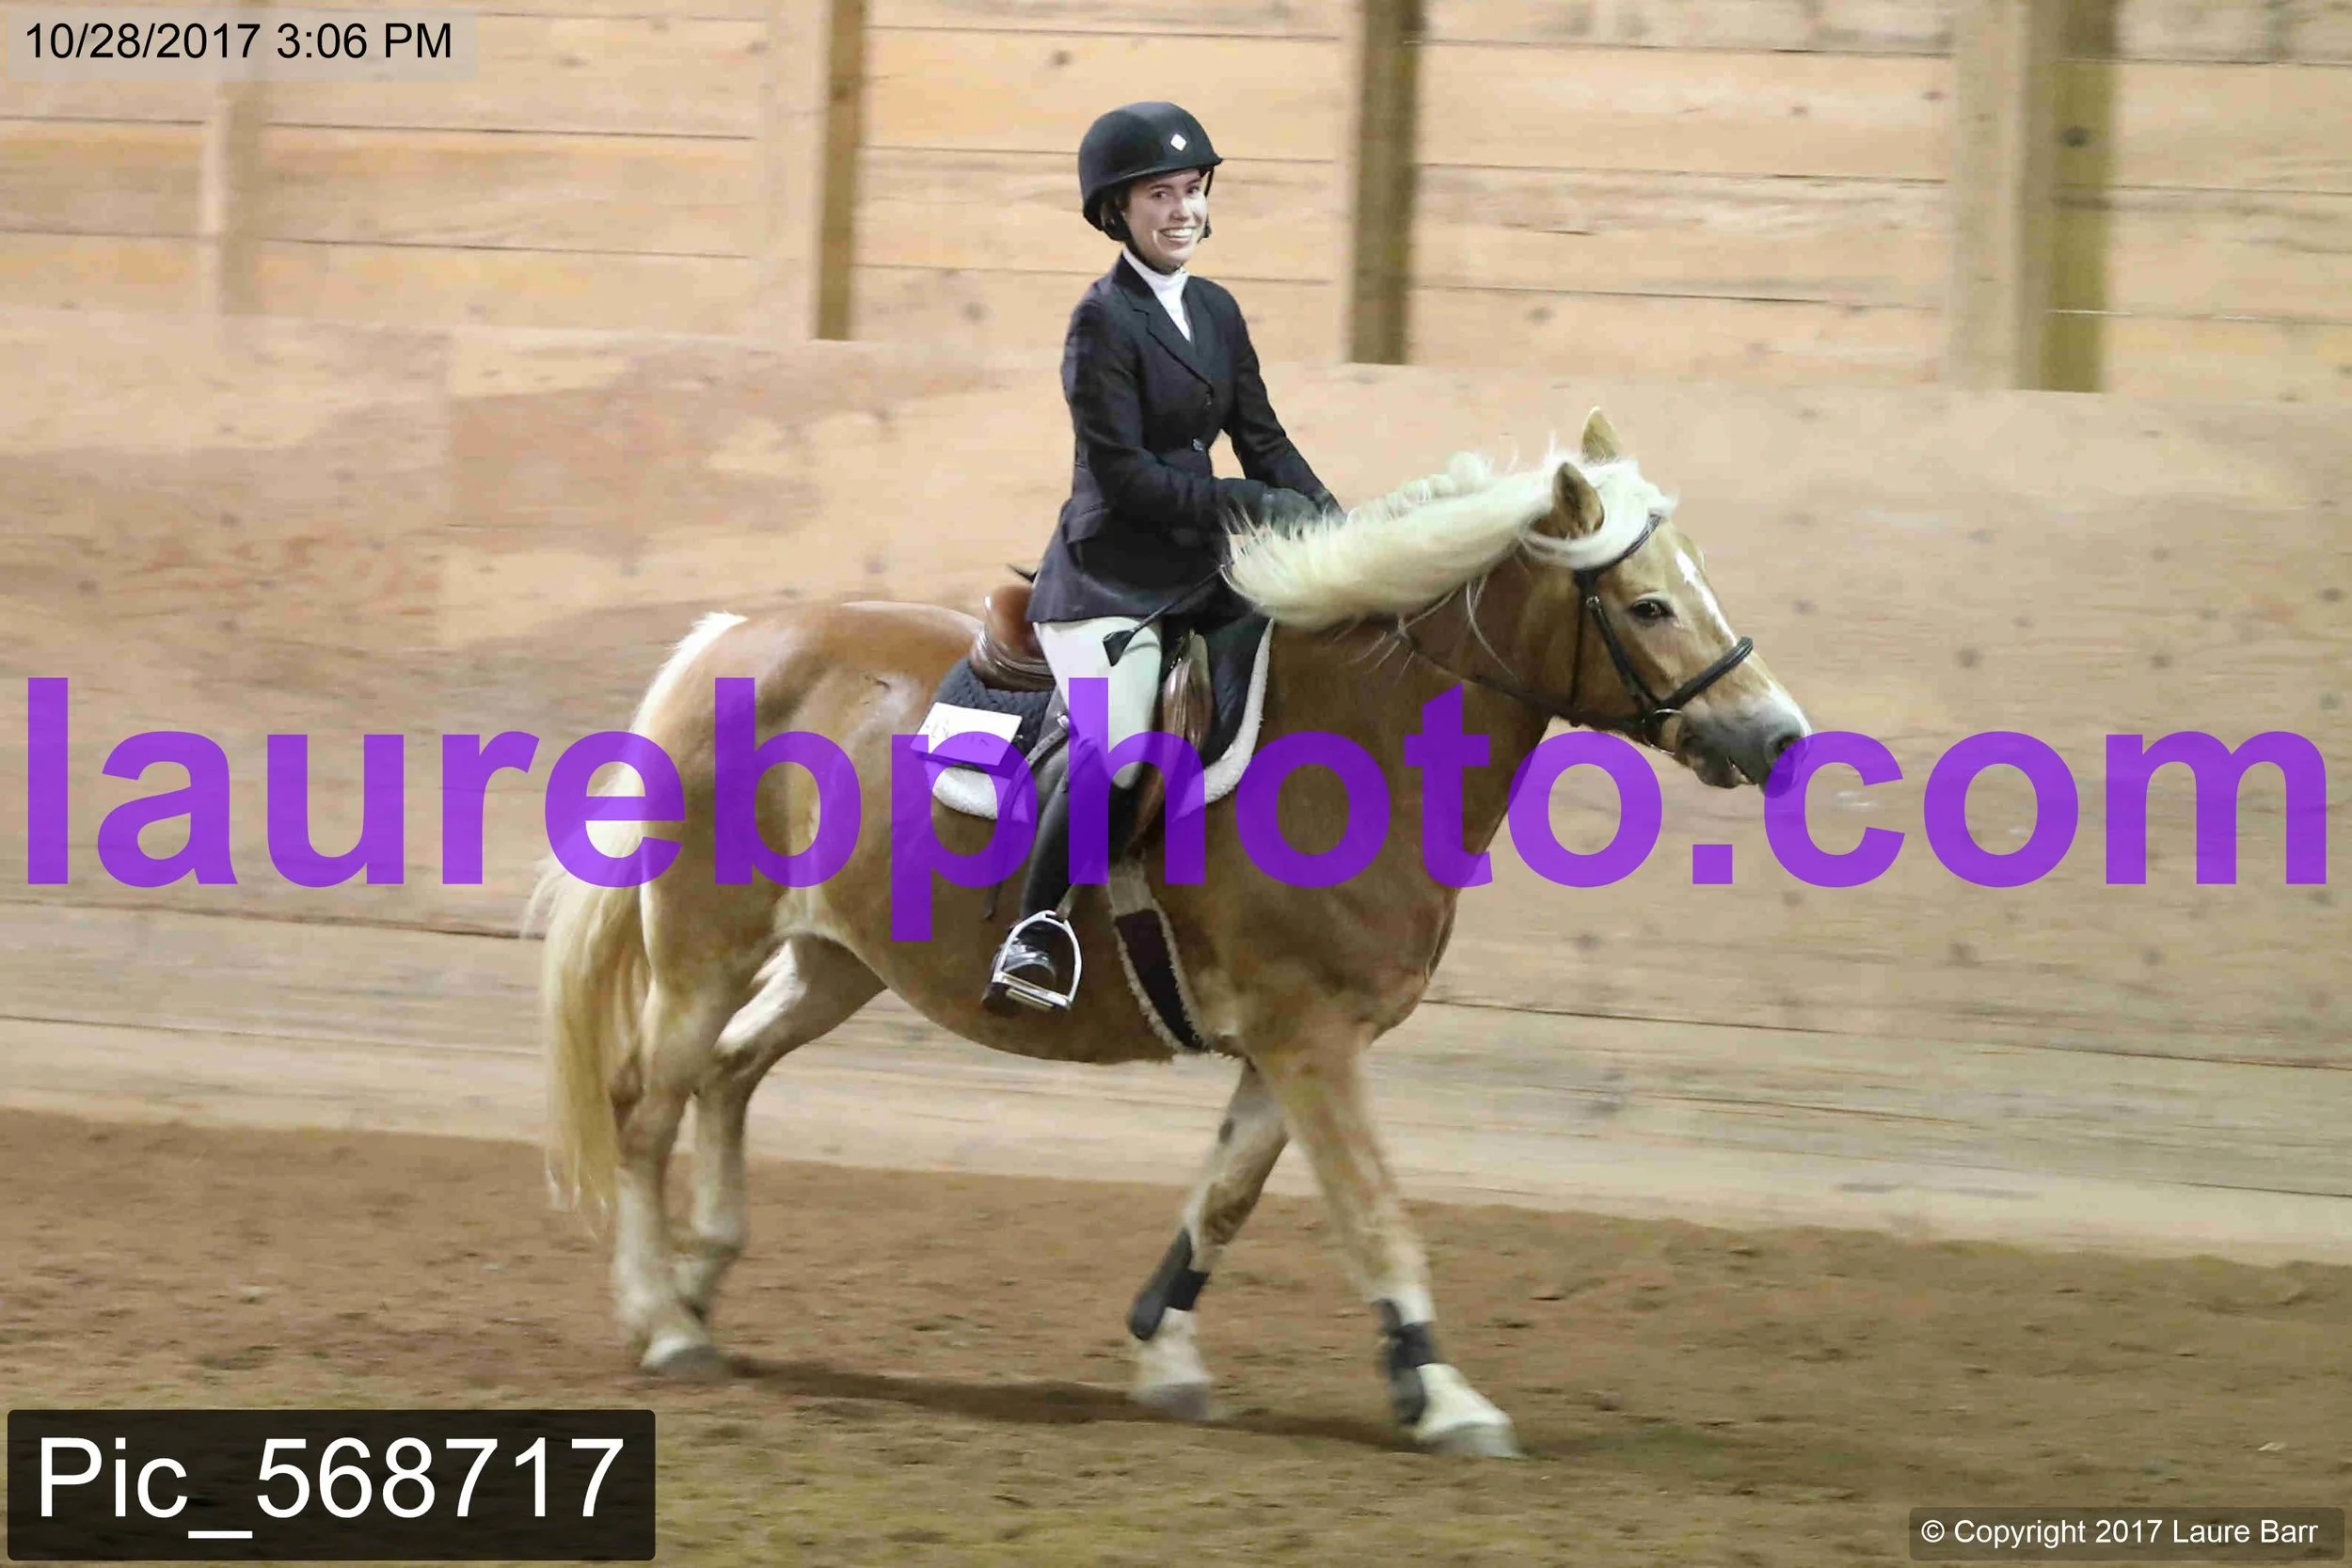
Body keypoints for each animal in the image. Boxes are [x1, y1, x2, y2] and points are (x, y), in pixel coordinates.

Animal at [529, 409, 1812, 1459]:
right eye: (1647, 604)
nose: (1774, 738)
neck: (1360, 737)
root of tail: (725, 639)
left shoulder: (1298, 1041)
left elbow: (1226, 1198)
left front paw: (1165, 1353)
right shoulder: (1307, 1036)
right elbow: (1374, 1211)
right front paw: (1445, 1396)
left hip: (835, 962)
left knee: (729, 1072)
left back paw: (701, 1279)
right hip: (703, 949)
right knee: (645, 1105)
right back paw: (662, 1321)